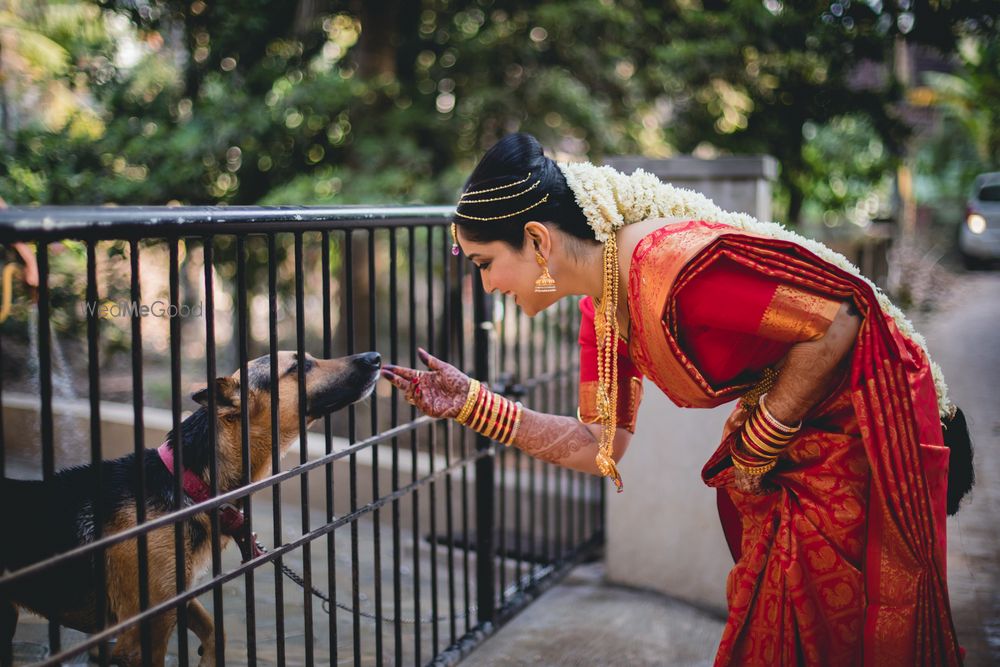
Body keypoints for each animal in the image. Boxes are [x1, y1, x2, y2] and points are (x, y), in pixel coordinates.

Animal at [0, 352, 382, 664]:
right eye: (299, 366)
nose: (375, 357)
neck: (190, 482)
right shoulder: (144, 632)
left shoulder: (175, 595)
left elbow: (217, 632)